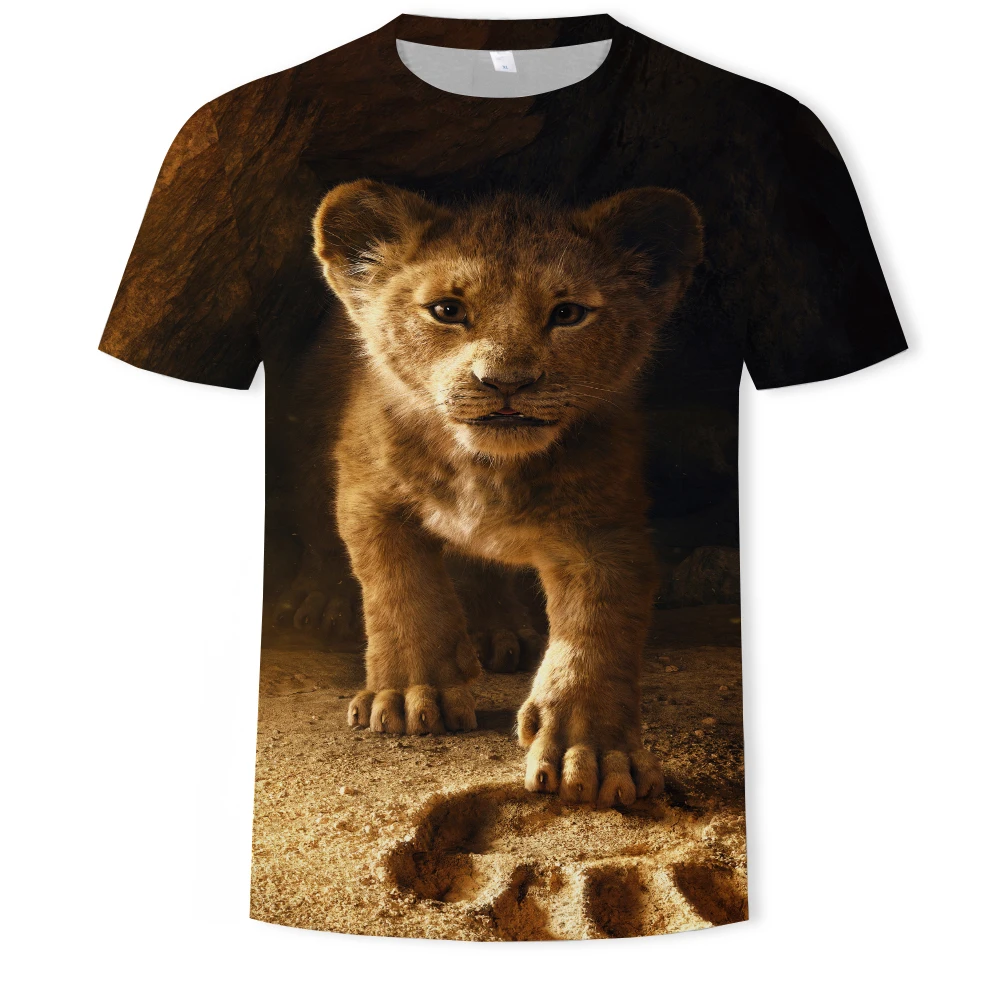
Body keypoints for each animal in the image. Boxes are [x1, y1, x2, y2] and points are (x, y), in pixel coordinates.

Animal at [312, 180, 703, 806]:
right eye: (447, 310)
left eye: (567, 313)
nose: (505, 382)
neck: (486, 466)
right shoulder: (369, 494)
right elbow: (400, 591)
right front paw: (412, 694)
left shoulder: (605, 532)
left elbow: (596, 635)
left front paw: (591, 752)